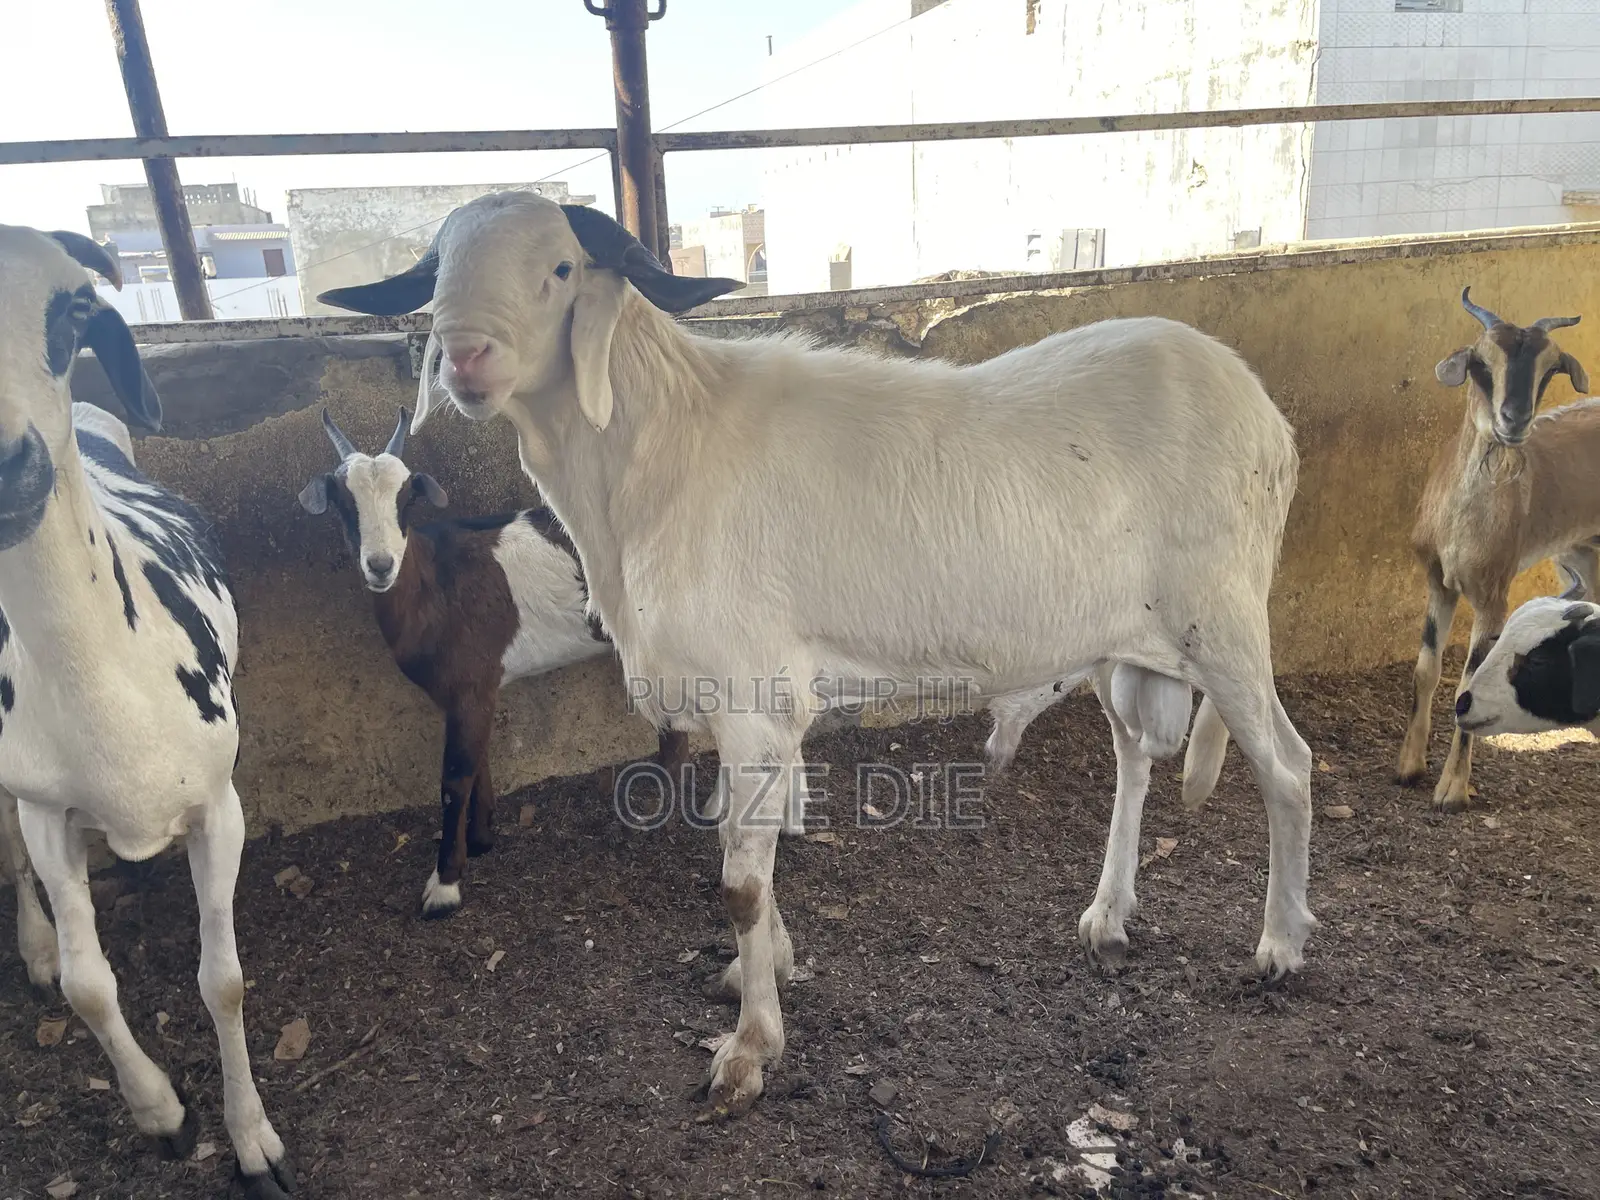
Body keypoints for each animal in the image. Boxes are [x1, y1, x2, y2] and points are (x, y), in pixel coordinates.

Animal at [0, 225, 292, 1197]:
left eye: (69, 312)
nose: (8, 468)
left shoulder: (219, 802)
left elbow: (223, 979)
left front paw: (252, 1140)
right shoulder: (45, 805)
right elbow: (90, 986)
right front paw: (163, 1114)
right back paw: (36, 946)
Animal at [297, 406, 691, 917]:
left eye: (406, 502)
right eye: (345, 502)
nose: (380, 565)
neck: (434, 585)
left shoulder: (471, 683)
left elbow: (453, 778)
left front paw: (444, 885)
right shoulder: (469, 691)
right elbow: (478, 761)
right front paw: (481, 839)